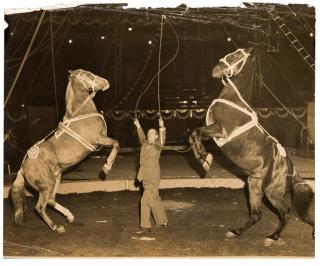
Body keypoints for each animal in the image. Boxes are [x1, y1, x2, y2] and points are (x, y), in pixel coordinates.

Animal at [10, 69, 120, 234]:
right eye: (88, 75)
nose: (105, 82)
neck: (81, 114)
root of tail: (23, 168)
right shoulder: (98, 138)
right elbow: (116, 144)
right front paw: (105, 169)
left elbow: (115, 144)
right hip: (47, 184)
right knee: (40, 207)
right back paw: (57, 227)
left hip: (56, 178)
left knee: (50, 201)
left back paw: (69, 216)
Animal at [189, 48, 314, 245]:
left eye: (236, 56)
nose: (216, 69)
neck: (234, 100)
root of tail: (292, 170)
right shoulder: (213, 131)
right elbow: (193, 134)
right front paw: (203, 159)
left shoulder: (219, 129)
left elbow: (196, 132)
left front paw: (203, 158)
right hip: (254, 185)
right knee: (257, 214)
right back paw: (236, 232)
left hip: (272, 191)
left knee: (286, 212)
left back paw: (272, 237)